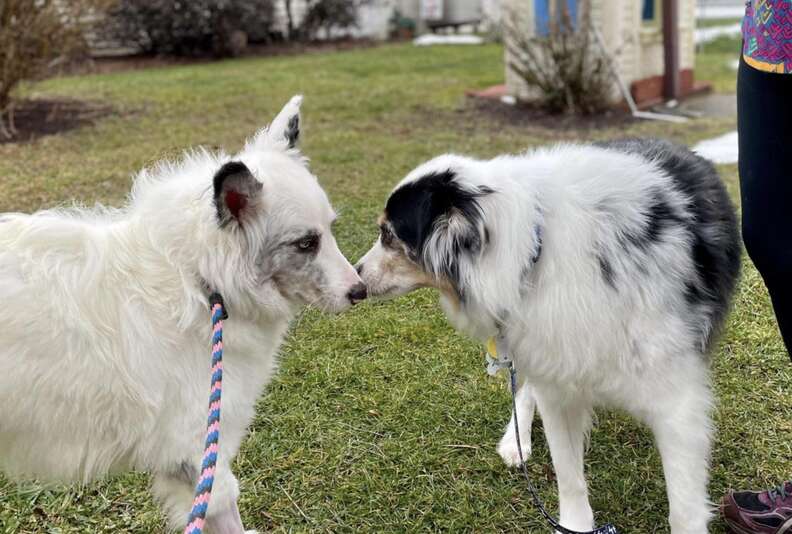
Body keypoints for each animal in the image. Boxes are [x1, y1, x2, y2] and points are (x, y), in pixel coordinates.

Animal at [358, 140, 744, 532]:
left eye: (388, 235)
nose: (356, 277)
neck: (534, 246)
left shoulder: (677, 403)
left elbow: (684, 507)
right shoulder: (556, 374)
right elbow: (568, 473)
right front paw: (575, 523)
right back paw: (516, 442)